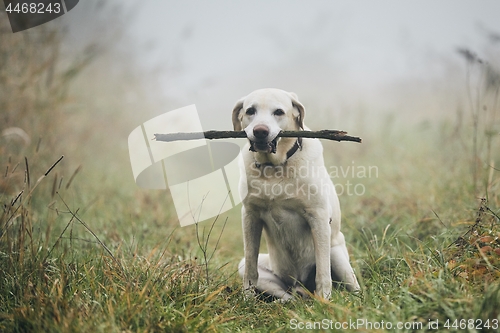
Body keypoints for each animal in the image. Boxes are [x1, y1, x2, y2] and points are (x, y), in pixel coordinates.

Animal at [233, 88, 360, 300]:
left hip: (337, 254)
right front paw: (247, 299)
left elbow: (323, 273)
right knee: (287, 295)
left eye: (278, 112)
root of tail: (299, 285)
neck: (274, 168)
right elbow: (251, 266)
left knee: (352, 284)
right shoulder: (250, 215)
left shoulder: (318, 217)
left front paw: (324, 300)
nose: (260, 131)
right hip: (262, 271)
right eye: (250, 110)